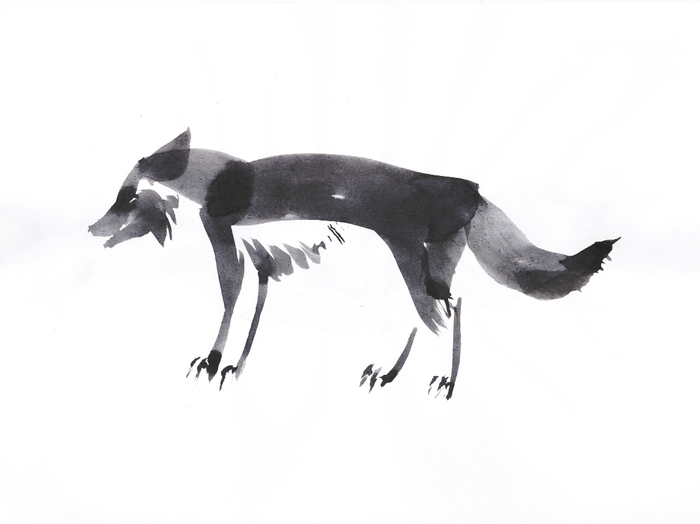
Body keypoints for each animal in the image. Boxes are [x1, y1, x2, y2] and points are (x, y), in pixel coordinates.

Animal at [89, 129, 618, 398]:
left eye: (125, 199)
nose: (93, 230)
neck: (222, 179)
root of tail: (472, 192)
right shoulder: (264, 262)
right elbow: (246, 306)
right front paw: (228, 365)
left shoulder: (229, 241)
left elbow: (229, 297)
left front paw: (216, 362)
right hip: (422, 263)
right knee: (443, 313)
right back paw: (408, 375)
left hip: (414, 260)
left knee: (441, 314)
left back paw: (424, 377)